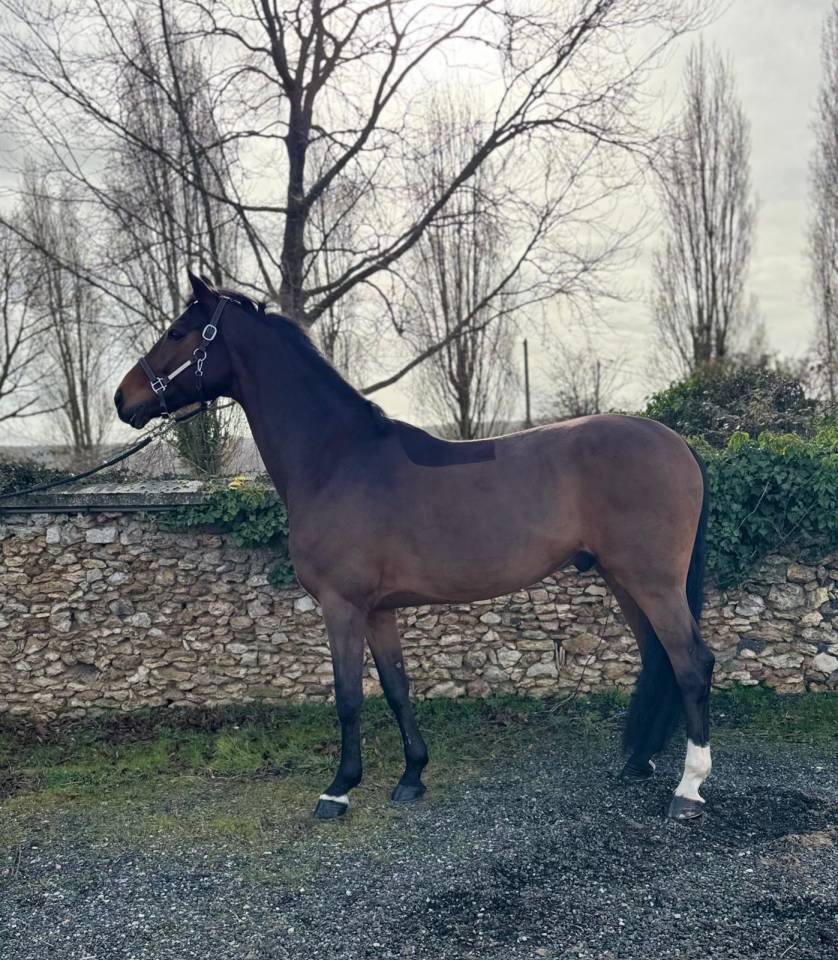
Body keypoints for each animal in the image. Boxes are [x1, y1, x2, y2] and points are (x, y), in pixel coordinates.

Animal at [115, 272, 714, 822]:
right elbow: (397, 687)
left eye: (176, 332)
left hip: (653, 581)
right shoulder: (379, 611)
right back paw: (637, 762)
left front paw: (338, 789)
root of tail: (677, 443)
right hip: (622, 578)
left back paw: (688, 789)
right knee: (658, 657)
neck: (337, 460)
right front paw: (412, 776)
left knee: (691, 662)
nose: (124, 399)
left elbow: (348, 697)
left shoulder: (342, 606)